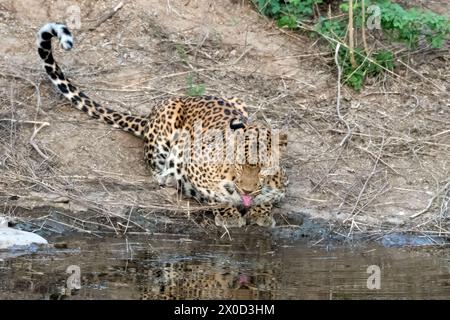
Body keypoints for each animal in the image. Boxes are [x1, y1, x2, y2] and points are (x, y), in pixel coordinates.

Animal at [36, 21, 288, 228]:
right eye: (239, 165)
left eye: (262, 168)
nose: (246, 190)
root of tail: (148, 118)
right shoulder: (194, 167)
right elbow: (216, 194)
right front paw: (229, 214)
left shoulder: (280, 186)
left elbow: (269, 196)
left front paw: (260, 212)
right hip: (168, 117)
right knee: (156, 168)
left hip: (238, 99)